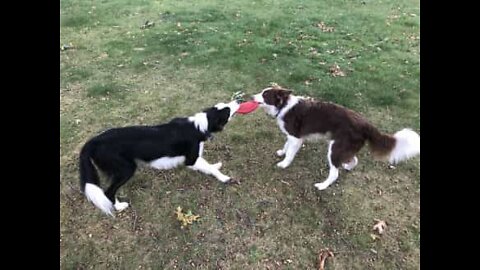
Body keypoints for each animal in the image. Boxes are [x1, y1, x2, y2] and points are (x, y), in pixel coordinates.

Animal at [81, 100, 244, 216]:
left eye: (224, 105)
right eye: (227, 110)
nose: (239, 99)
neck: (201, 124)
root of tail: (93, 141)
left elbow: (209, 165)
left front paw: (216, 166)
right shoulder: (191, 159)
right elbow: (209, 167)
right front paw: (224, 178)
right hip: (126, 168)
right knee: (108, 191)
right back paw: (120, 206)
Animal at [253, 86, 418, 190]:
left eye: (265, 95)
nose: (251, 96)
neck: (284, 105)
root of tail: (365, 123)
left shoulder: (296, 137)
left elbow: (290, 153)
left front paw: (283, 163)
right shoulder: (292, 135)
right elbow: (286, 145)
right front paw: (282, 152)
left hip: (335, 148)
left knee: (334, 173)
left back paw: (322, 186)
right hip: (345, 148)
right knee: (353, 160)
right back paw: (347, 167)